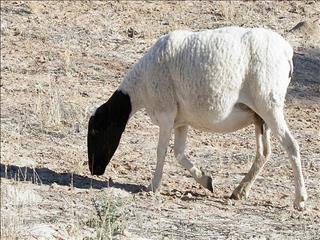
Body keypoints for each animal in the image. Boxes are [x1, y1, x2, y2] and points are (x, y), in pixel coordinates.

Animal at [87, 26, 308, 210]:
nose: (94, 170)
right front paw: (206, 180)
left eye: (96, 131)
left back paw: (300, 200)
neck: (140, 87)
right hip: (259, 115)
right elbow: (178, 153)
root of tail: (287, 52)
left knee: (291, 146)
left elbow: (161, 151)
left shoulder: (166, 113)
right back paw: (240, 191)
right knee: (264, 152)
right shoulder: (180, 121)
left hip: (269, 105)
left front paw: (153, 186)